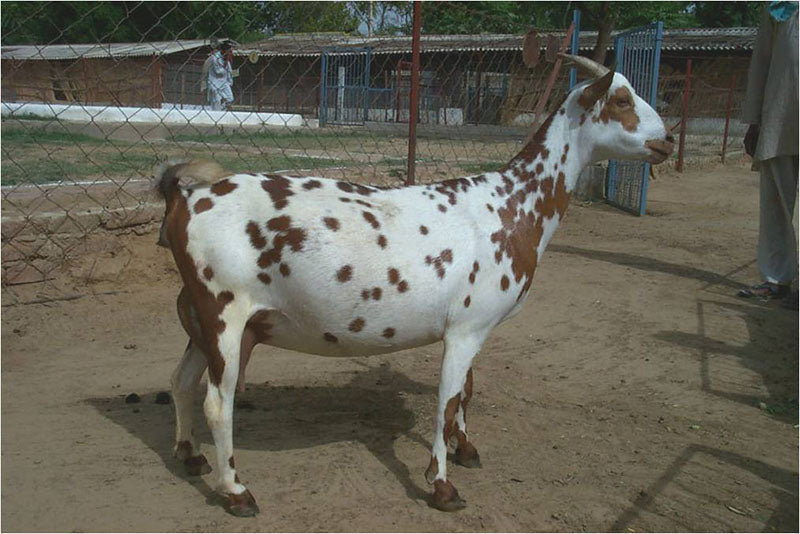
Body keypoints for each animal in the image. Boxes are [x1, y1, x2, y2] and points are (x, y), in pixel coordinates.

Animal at [155, 55, 674, 516]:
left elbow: (466, 391)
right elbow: (446, 403)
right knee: (216, 402)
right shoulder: (464, 330)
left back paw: (189, 456)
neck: (512, 206)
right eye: (622, 100)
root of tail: (186, 198)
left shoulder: (473, 326)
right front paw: (442, 486)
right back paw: (237, 492)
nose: (668, 141)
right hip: (225, 312)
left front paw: (466, 451)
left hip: (202, 319)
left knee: (180, 380)